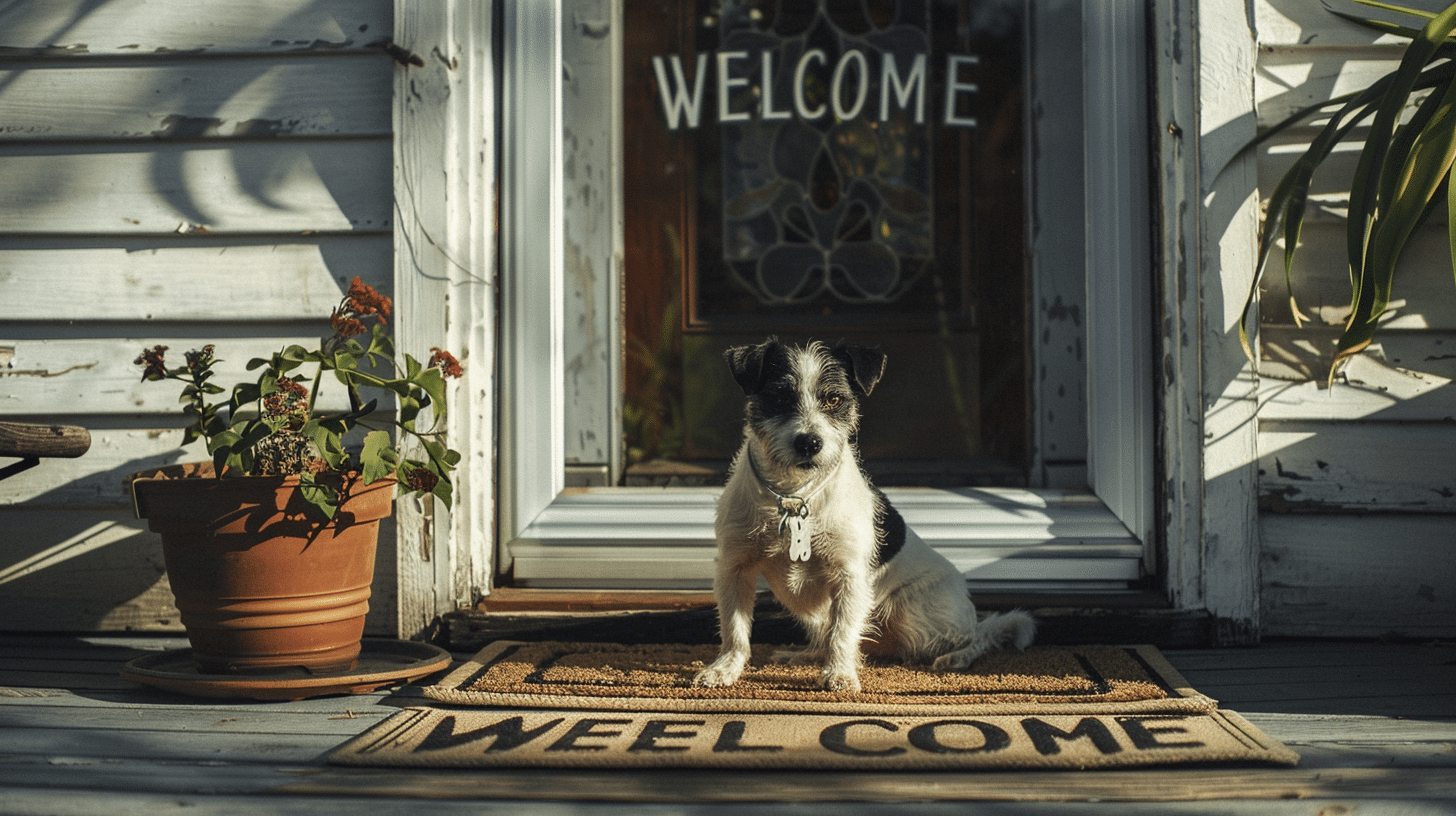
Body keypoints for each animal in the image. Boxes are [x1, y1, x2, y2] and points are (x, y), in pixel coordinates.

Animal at [693, 335, 1036, 690]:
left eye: (833, 399)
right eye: (779, 397)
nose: (809, 443)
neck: (795, 494)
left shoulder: (848, 576)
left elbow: (842, 632)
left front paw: (840, 674)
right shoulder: (735, 569)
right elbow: (734, 630)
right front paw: (724, 669)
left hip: (917, 618)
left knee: (980, 633)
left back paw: (959, 657)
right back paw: (803, 656)